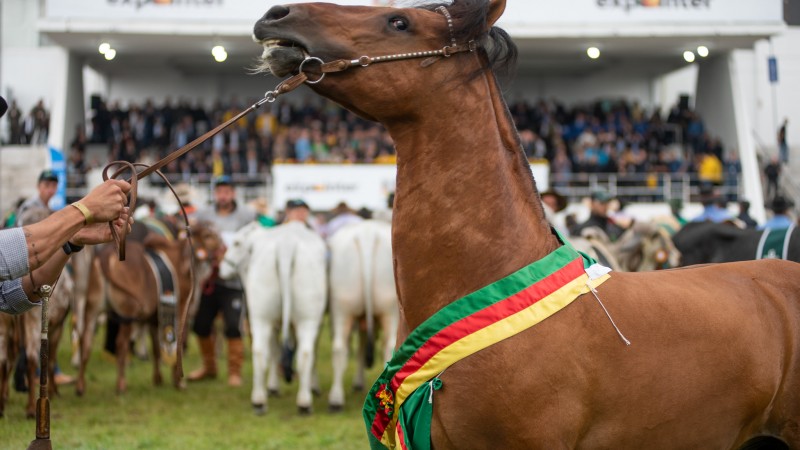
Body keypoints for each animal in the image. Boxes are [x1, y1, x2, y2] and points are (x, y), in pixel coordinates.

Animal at [217, 221, 326, 414]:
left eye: (236, 243)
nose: (221, 269)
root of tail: (286, 245)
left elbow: (274, 351)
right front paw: (276, 386)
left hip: (262, 315)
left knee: (261, 351)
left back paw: (259, 401)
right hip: (306, 317)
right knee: (305, 353)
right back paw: (304, 402)